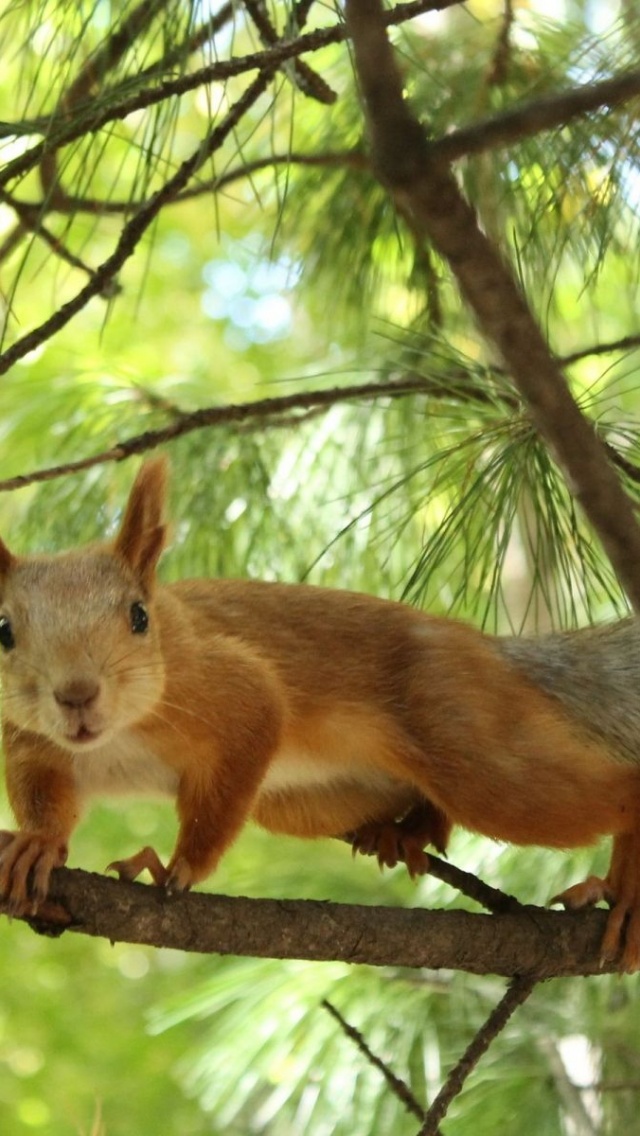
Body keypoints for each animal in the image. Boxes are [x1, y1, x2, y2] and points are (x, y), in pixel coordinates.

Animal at [0, 456, 636, 972]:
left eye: (138, 616)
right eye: (3, 629)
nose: (76, 694)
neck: (112, 739)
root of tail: (496, 653)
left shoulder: (235, 689)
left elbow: (227, 779)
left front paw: (174, 867)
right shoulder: (28, 744)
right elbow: (46, 798)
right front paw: (37, 843)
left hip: (473, 738)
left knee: (612, 788)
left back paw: (626, 893)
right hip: (303, 800)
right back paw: (405, 830)